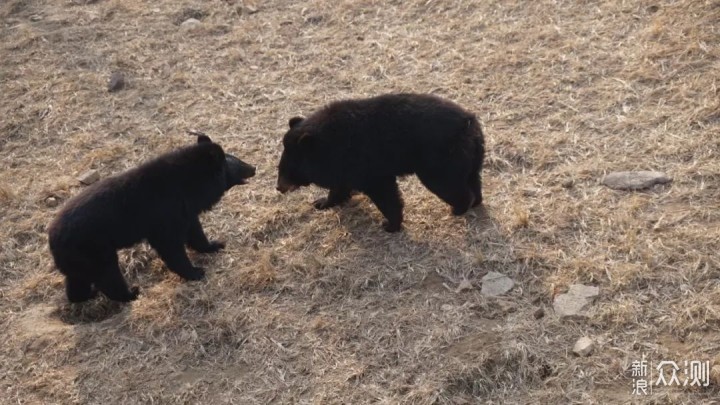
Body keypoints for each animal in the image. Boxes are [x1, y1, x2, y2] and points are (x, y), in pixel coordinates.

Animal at [48, 134, 256, 302]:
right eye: (237, 163)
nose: (254, 167)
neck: (190, 184)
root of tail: (52, 240)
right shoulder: (165, 216)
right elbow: (171, 247)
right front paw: (196, 272)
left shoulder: (185, 211)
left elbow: (195, 231)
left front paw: (215, 245)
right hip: (94, 251)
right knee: (107, 275)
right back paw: (131, 293)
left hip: (79, 259)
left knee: (77, 280)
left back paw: (86, 296)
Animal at [276, 91, 484, 230]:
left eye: (289, 169)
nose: (279, 188)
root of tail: (469, 122)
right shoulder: (345, 167)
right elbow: (340, 187)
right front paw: (322, 203)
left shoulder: (365, 166)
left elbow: (384, 194)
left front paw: (390, 225)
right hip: (472, 157)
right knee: (473, 179)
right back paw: (476, 202)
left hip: (439, 162)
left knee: (450, 186)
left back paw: (459, 208)